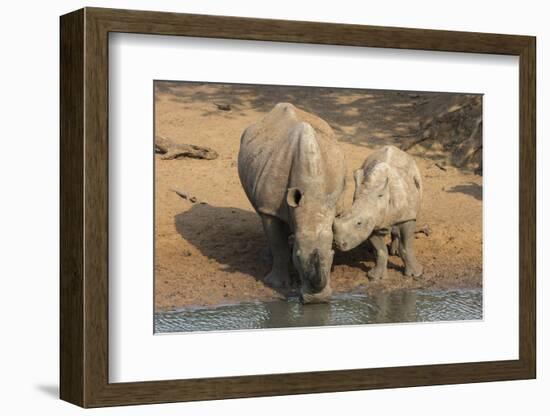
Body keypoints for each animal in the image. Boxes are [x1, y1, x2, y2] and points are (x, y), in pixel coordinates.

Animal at [239, 101, 348, 302]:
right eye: (298, 256)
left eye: (332, 255)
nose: (317, 301)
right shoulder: (270, 209)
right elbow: (277, 242)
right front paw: (277, 284)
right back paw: (268, 257)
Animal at [334, 146, 424, 280]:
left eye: (359, 223)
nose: (339, 244)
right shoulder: (372, 222)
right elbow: (380, 250)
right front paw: (375, 277)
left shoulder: (407, 217)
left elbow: (406, 247)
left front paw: (416, 274)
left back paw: (395, 252)